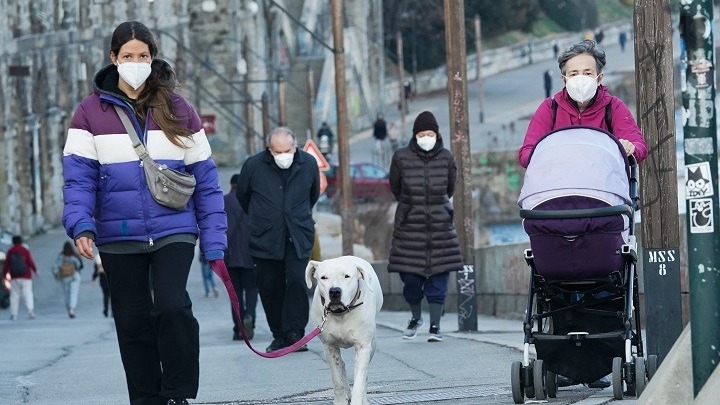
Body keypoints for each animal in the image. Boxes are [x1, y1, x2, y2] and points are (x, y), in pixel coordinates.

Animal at [304, 256, 382, 404]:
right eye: (324, 277)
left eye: (347, 276)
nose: (334, 291)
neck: (340, 314)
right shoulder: (329, 347)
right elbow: (337, 379)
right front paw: (340, 401)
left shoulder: (363, 346)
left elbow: (359, 379)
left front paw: (358, 399)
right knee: (342, 366)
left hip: (373, 343)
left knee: (364, 373)